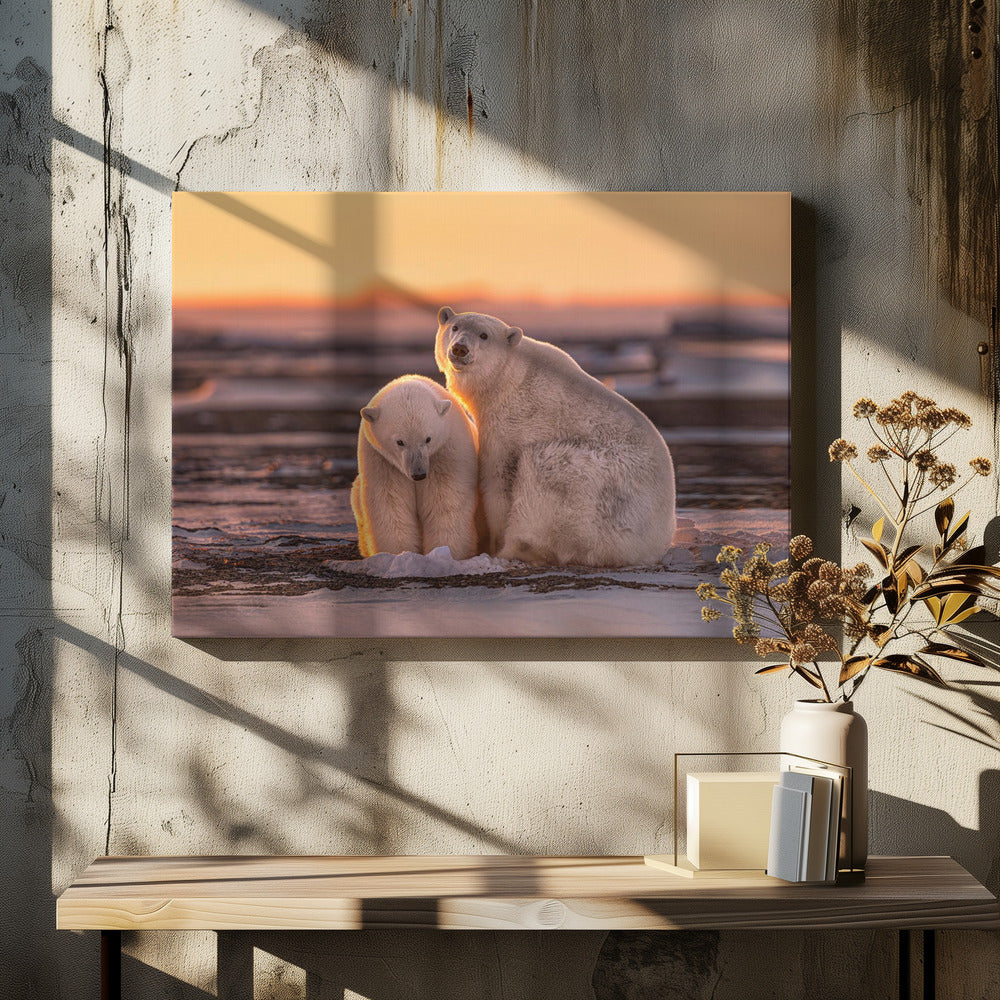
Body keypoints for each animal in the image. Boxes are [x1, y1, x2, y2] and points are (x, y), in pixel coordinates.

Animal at [350, 374, 480, 561]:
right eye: (400, 442)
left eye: (428, 439)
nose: (419, 474)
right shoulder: (382, 461)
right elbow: (390, 502)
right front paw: (398, 554)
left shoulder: (446, 453)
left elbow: (446, 500)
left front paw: (447, 553)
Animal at [435, 307, 676, 567]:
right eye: (455, 327)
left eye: (484, 335)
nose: (460, 348)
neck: (509, 379)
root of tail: (656, 544)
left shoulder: (511, 423)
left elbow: (498, 481)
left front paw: (493, 544)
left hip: (604, 495)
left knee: (547, 469)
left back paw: (515, 549)